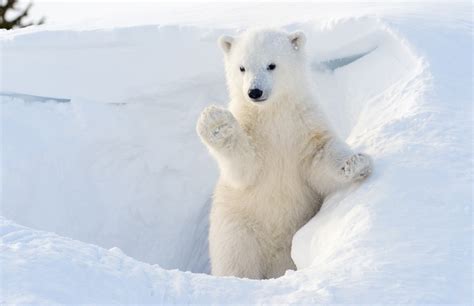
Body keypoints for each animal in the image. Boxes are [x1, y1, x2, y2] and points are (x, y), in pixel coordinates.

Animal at [195, 28, 370, 280]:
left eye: (271, 65)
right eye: (242, 67)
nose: (254, 92)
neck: (273, 113)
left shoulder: (304, 125)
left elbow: (319, 158)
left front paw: (356, 162)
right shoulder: (253, 131)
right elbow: (244, 168)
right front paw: (216, 122)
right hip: (238, 229)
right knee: (237, 262)